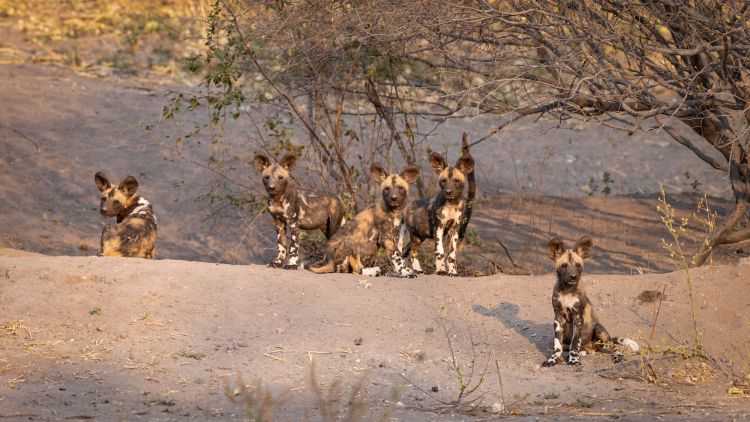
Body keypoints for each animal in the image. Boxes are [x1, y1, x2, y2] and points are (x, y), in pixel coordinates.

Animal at [544, 236, 644, 368]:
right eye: (564, 265)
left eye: (577, 265)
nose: (573, 276)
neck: (567, 291)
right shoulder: (558, 318)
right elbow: (557, 346)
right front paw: (553, 360)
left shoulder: (577, 318)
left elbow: (574, 343)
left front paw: (573, 360)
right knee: (573, 347)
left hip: (599, 329)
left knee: (612, 346)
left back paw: (616, 356)